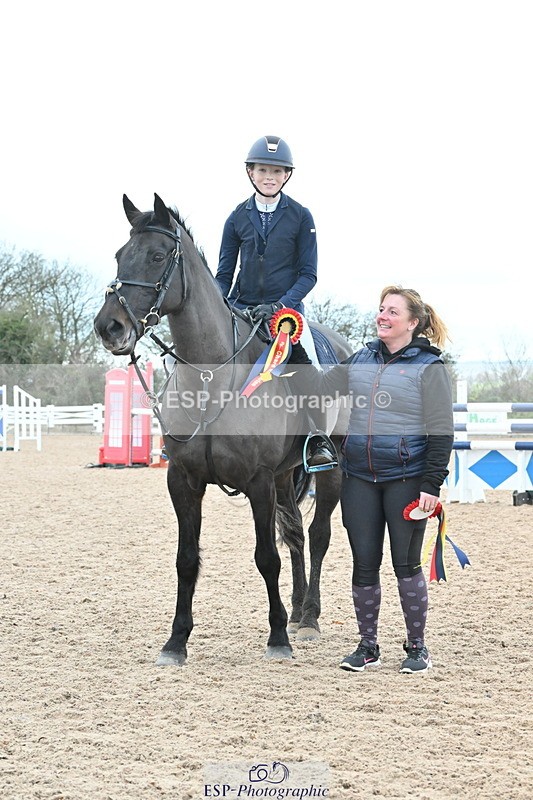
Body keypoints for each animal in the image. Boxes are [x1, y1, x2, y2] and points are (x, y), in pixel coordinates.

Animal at [94, 193, 352, 666]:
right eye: (121, 255)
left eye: (157, 257)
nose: (109, 327)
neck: (213, 380)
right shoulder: (184, 481)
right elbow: (186, 559)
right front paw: (176, 641)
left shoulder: (258, 481)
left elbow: (266, 557)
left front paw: (277, 638)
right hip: (287, 476)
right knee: (295, 536)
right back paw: (297, 611)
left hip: (331, 470)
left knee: (318, 536)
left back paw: (307, 618)